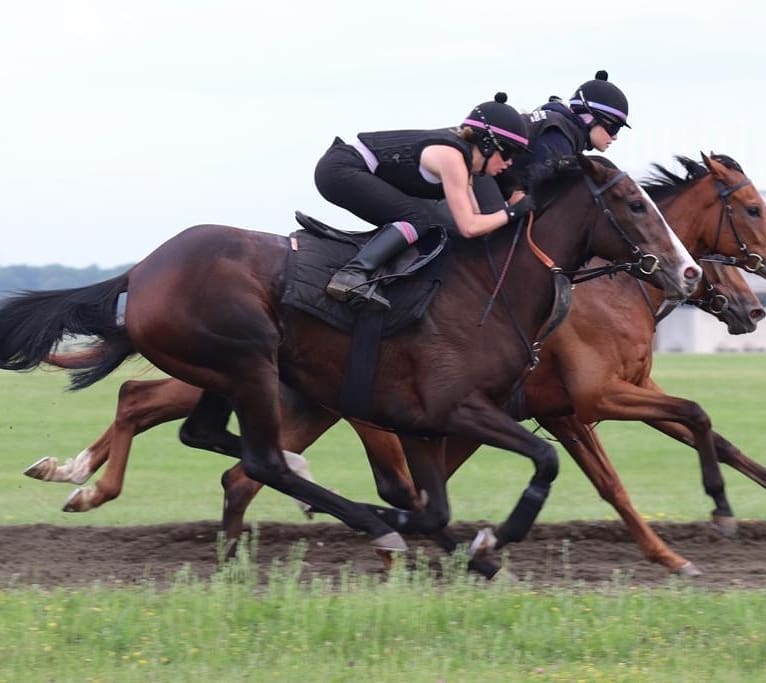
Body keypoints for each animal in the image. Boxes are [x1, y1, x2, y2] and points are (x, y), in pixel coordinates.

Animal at [30, 153, 766, 576]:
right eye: (753, 208)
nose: (746, 304)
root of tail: (144, 269)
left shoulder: (500, 411)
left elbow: (705, 428)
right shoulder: (576, 402)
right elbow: (603, 473)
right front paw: (680, 545)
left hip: (271, 385)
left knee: (215, 448)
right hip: (252, 368)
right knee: (178, 419)